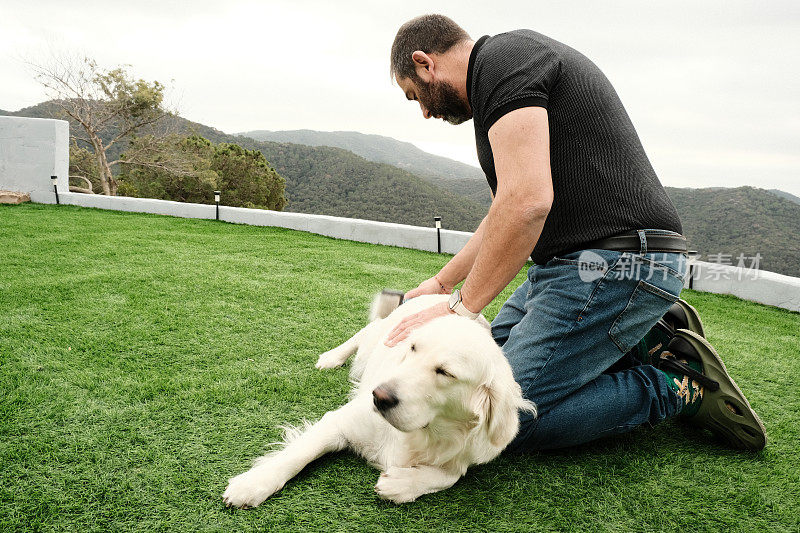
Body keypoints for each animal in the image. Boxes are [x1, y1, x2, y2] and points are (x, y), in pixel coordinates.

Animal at [222, 294, 536, 504]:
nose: (379, 397)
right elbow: (297, 454)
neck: (422, 434)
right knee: (362, 334)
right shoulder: (341, 421)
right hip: (380, 333)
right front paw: (253, 484)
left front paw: (403, 484)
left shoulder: (468, 453)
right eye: (412, 347)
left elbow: (450, 475)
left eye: (445, 372)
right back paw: (332, 357)